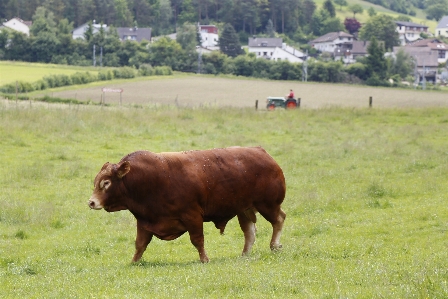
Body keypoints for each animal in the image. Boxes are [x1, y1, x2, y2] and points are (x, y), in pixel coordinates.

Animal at [88, 146, 288, 264]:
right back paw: (245, 254)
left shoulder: (192, 216)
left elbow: (198, 240)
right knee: (250, 232)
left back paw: (274, 245)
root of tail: (261, 152)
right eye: (96, 181)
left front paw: (204, 259)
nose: (91, 202)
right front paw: (134, 262)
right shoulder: (144, 221)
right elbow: (140, 244)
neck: (151, 180)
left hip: (268, 205)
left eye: (106, 183)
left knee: (279, 219)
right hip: (244, 209)